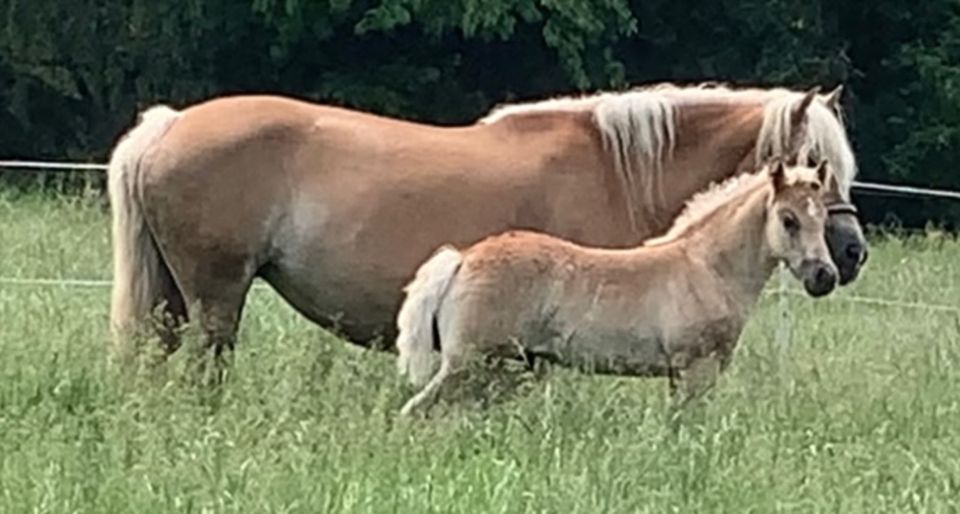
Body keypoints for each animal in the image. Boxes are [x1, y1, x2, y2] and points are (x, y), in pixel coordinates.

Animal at [109, 82, 868, 366]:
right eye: (813, 169)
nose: (852, 253)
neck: (616, 168)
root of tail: (168, 125)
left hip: (176, 298)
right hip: (216, 296)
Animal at [394, 159, 836, 412]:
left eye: (823, 217)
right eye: (788, 219)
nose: (825, 277)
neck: (707, 268)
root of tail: (463, 258)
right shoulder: (695, 368)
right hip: (467, 364)